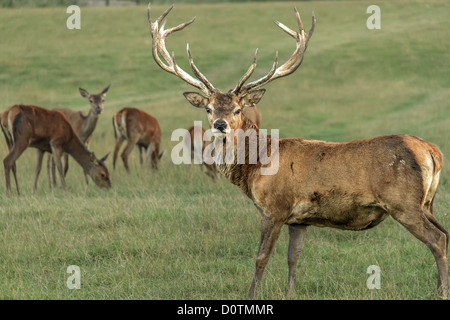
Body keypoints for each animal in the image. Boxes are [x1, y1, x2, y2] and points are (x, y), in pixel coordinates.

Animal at [148, 4, 446, 300]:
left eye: (238, 109)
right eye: (208, 108)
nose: (220, 124)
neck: (256, 166)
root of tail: (433, 151)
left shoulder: (274, 207)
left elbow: (261, 257)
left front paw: (251, 294)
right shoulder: (299, 219)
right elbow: (294, 257)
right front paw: (291, 292)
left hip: (403, 202)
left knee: (438, 239)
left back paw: (441, 291)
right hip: (427, 203)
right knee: (446, 233)